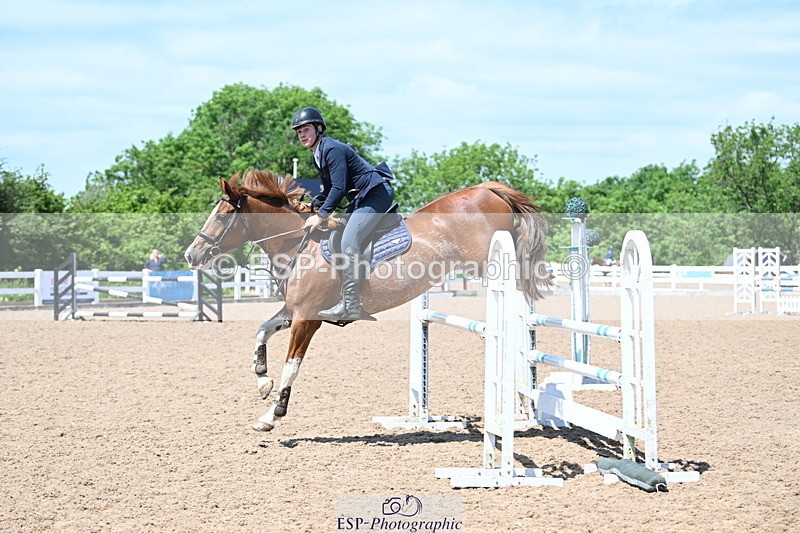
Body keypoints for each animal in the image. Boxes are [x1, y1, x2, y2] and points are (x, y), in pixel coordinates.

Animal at [184, 169, 551, 431]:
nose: (191, 255)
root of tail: (488, 189)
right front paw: (262, 378)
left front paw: (272, 414)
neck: (297, 244)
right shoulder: (293, 311)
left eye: (221, 216)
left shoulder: (307, 318)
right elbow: (261, 330)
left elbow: (292, 365)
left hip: (490, 263)